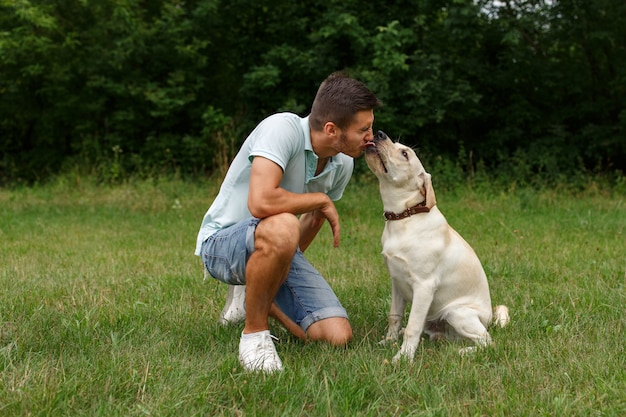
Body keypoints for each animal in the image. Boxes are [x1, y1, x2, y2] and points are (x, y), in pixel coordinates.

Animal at [360, 131, 508, 360]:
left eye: (405, 153)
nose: (380, 133)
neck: (404, 217)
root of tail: (489, 320)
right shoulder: (396, 282)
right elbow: (394, 316)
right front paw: (388, 342)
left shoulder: (424, 285)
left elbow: (413, 326)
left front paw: (403, 358)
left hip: (456, 312)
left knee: (487, 341)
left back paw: (463, 351)